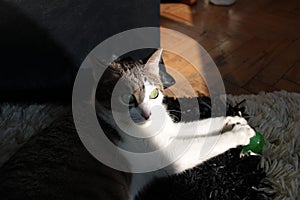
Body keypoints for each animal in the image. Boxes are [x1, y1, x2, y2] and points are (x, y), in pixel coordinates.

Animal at [95, 48, 254, 198]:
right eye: (127, 98)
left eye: (154, 94)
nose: (147, 114)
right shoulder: (167, 154)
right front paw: (240, 133)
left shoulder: (170, 130)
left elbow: (201, 125)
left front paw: (233, 120)